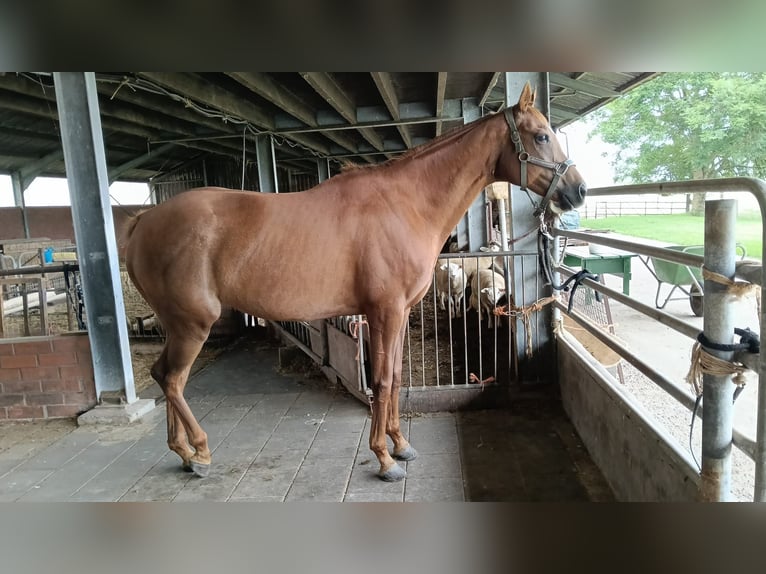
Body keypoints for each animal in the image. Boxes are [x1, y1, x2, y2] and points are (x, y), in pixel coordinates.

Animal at [124, 82, 586, 481]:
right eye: (541, 136)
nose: (578, 191)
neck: (405, 205)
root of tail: (145, 219)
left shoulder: (399, 313)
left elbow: (396, 377)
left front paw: (400, 444)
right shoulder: (384, 311)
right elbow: (380, 381)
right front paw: (384, 458)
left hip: (178, 324)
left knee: (163, 375)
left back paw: (183, 453)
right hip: (193, 323)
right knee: (173, 379)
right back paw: (200, 453)